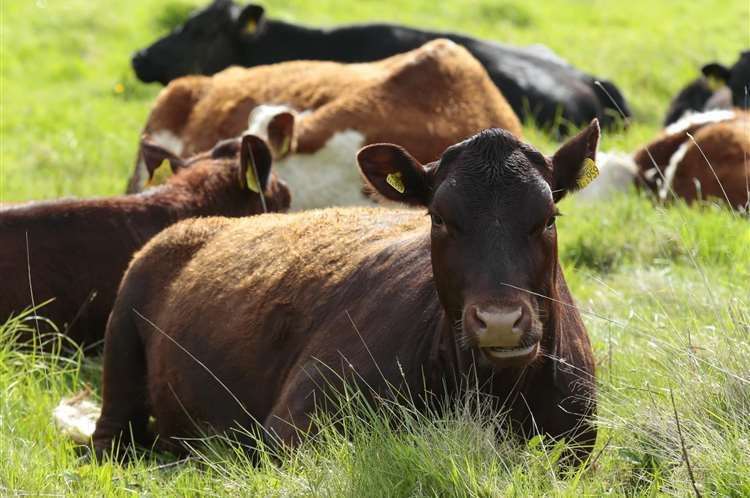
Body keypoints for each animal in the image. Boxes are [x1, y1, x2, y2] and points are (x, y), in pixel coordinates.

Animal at [88, 120, 604, 462]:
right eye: (439, 217)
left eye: (548, 217)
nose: (500, 321)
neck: (493, 391)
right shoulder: (291, 427)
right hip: (120, 352)